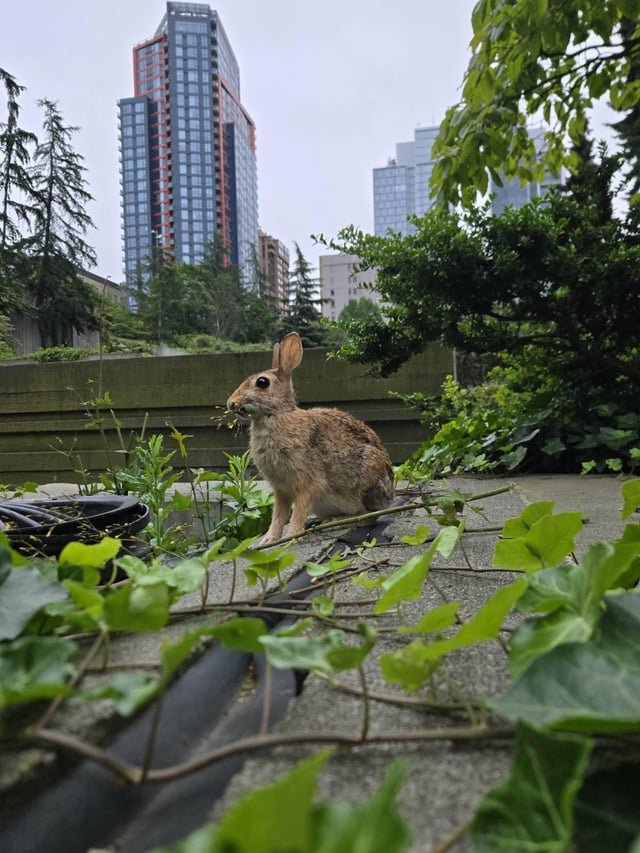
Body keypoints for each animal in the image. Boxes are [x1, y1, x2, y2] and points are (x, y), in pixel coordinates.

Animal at [226, 331, 394, 544]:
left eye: (262, 382)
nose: (231, 403)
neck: (276, 414)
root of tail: (389, 496)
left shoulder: (307, 483)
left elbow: (298, 510)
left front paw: (292, 536)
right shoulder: (280, 488)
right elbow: (278, 514)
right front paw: (269, 539)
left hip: (367, 481)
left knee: (369, 517)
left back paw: (342, 522)